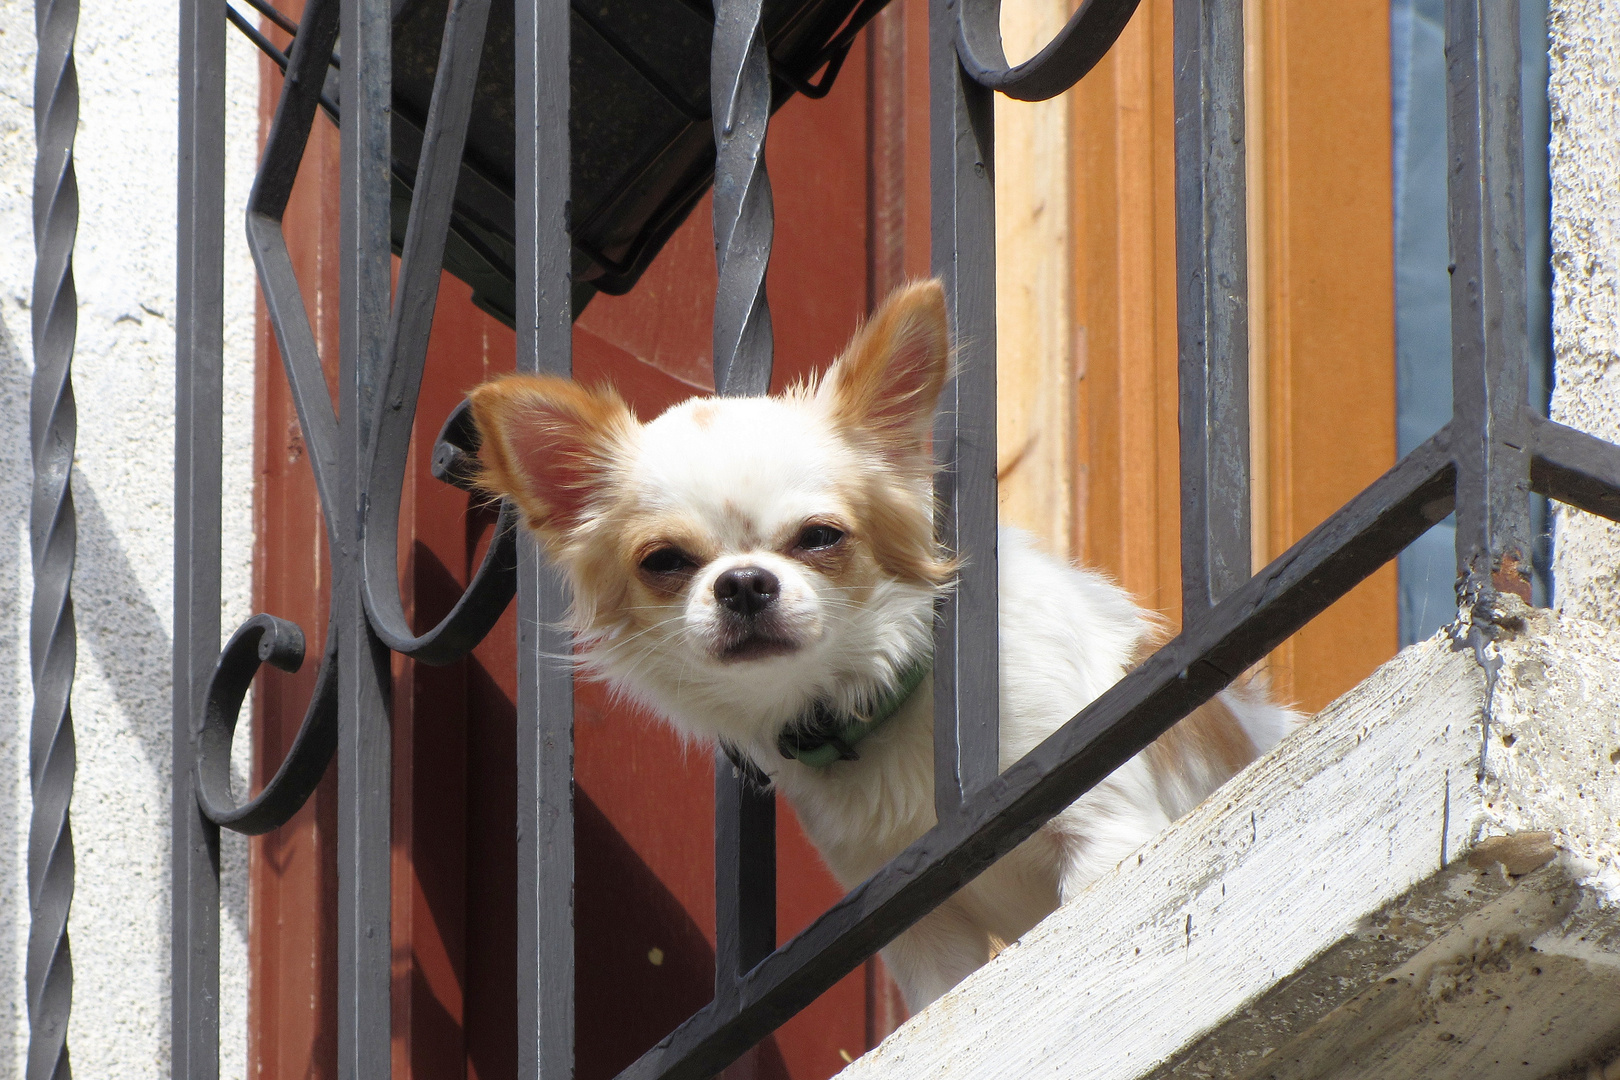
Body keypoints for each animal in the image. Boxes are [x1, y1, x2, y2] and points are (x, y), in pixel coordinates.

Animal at [466, 281, 1289, 1016]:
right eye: (664, 561)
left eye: (820, 537)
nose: (743, 583)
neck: (885, 701)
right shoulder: (918, 918)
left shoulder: (1103, 827)